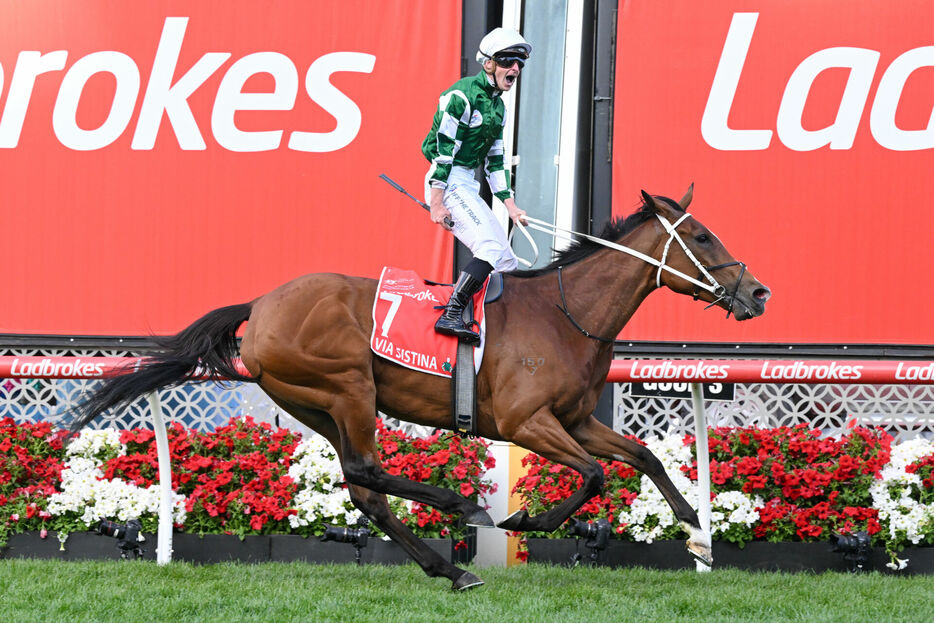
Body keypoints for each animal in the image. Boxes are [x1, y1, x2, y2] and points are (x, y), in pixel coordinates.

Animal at [69, 185, 772, 588]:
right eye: (702, 236)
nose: (759, 292)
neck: (564, 314)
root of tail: (262, 303)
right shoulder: (526, 423)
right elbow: (595, 476)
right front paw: (525, 517)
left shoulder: (574, 420)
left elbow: (644, 455)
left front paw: (695, 529)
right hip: (348, 387)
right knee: (368, 475)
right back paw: (460, 511)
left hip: (315, 402)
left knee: (364, 489)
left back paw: (449, 566)